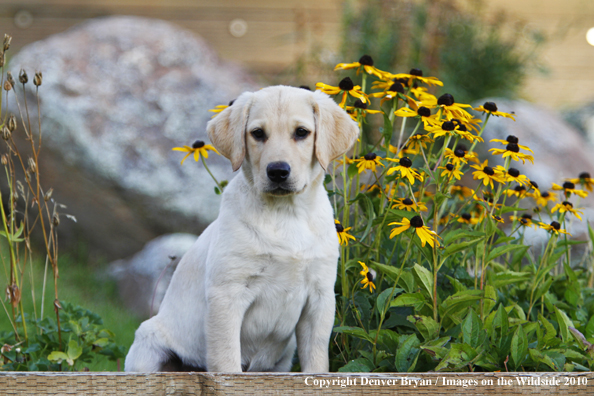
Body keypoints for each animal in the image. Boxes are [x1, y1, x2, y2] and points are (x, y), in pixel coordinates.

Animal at [125, 85, 356, 372]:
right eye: (257, 133)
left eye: (302, 132)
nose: (277, 171)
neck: (285, 213)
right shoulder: (227, 293)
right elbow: (226, 359)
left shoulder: (320, 297)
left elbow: (316, 360)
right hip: (148, 346)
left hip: (283, 357)